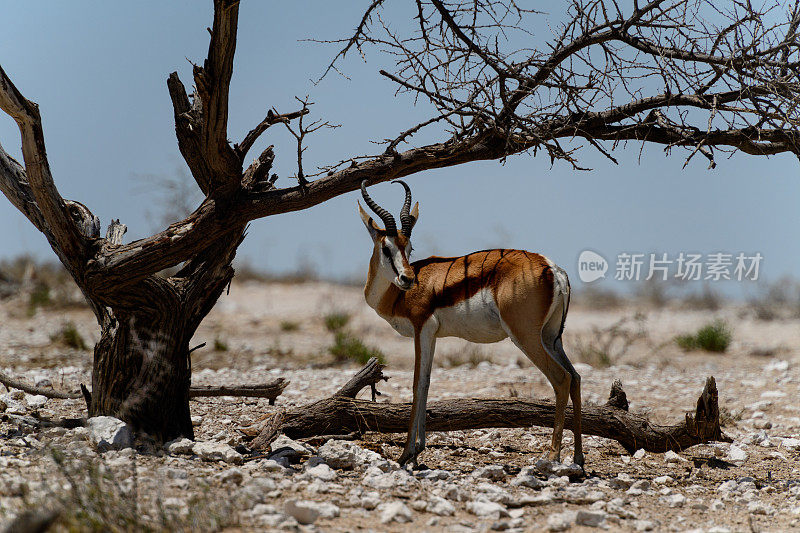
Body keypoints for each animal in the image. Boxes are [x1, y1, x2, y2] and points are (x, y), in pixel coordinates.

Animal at [360, 178, 584, 466]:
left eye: (409, 248)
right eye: (387, 248)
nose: (407, 279)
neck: (396, 295)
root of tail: (552, 268)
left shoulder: (422, 329)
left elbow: (416, 384)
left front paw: (407, 453)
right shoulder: (432, 335)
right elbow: (427, 383)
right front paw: (419, 449)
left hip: (525, 337)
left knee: (561, 378)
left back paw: (553, 456)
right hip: (551, 337)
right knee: (576, 377)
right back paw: (578, 457)